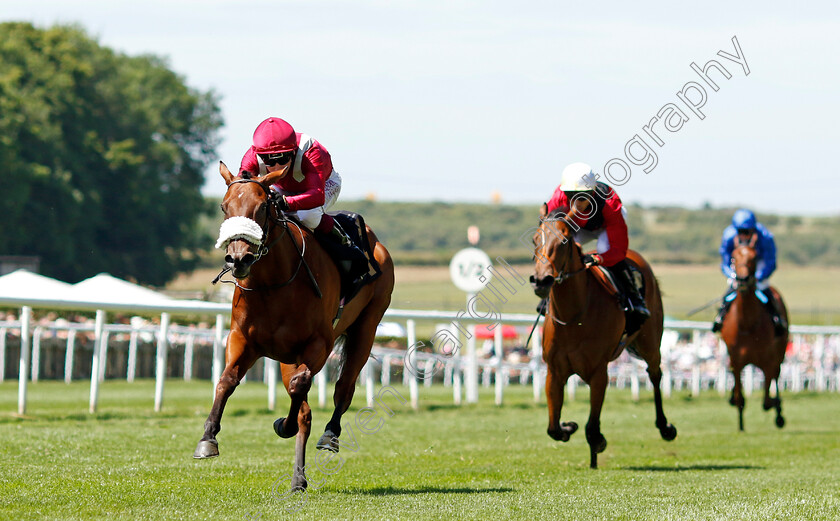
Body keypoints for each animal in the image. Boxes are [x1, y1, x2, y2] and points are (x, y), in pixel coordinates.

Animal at [194, 162, 398, 492]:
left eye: (263, 207)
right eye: (224, 207)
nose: (239, 258)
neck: (272, 284)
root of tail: (375, 241)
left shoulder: (318, 344)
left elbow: (300, 389)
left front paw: (284, 425)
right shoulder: (243, 339)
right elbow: (226, 380)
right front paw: (207, 439)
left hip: (366, 326)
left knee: (343, 388)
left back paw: (328, 437)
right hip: (288, 357)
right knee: (303, 404)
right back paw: (298, 478)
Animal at [532, 205, 676, 470]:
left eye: (564, 241)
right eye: (535, 239)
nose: (540, 280)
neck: (574, 317)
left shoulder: (599, 372)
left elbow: (592, 425)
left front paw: (597, 443)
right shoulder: (554, 373)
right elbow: (553, 428)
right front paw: (569, 427)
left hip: (650, 342)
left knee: (655, 375)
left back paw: (665, 427)